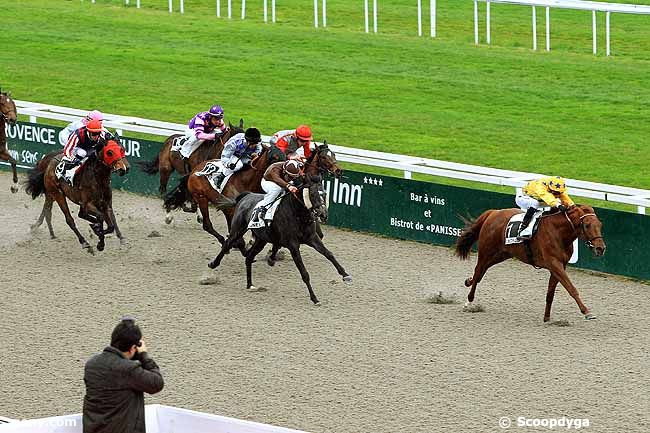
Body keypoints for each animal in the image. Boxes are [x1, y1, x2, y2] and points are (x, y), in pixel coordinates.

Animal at [208, 173, 352, 304]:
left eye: (325, 194)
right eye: (312, 194)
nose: (323, 214)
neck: (298, 214)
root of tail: (246, 196)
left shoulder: (312, 238)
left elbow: (329, 254)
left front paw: (345, 275)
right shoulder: (293, 245)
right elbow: (304, 273)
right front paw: (314, 298)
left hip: (261, 239)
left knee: (249, 257)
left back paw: (250, 284)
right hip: (238, 230)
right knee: (227, 244)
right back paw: (213, 264)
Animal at [454, 205, 604, 320]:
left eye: (600, 225)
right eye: (587, 225)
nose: (600, 248)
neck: (559, 233)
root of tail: (493, 213)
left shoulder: (560, 265)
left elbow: (550, 293)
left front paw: (546, 317)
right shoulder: (554, 263)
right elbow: (571, 288)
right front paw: (587, 312)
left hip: (501, 254)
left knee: (479, 274)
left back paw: (468, 281)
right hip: (486, 252)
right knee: (478, 272)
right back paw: (469, 302)